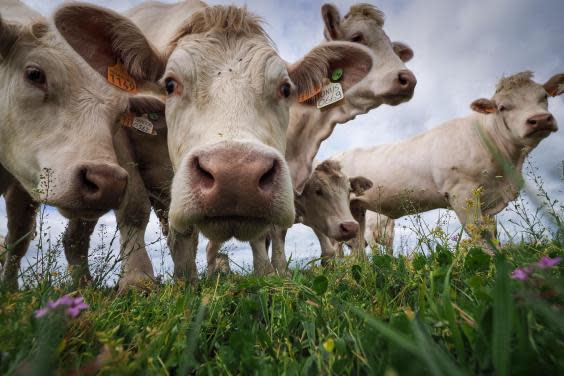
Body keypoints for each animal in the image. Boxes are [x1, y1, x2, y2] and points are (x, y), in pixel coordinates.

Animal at [332, 71, 560, 258]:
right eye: (502, 107)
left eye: (544, 97)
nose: (540, 119)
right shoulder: (461, 192)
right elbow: (479, 233)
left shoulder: (487, 200)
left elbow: (492, 234)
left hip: (356, 211)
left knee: (357, 247)